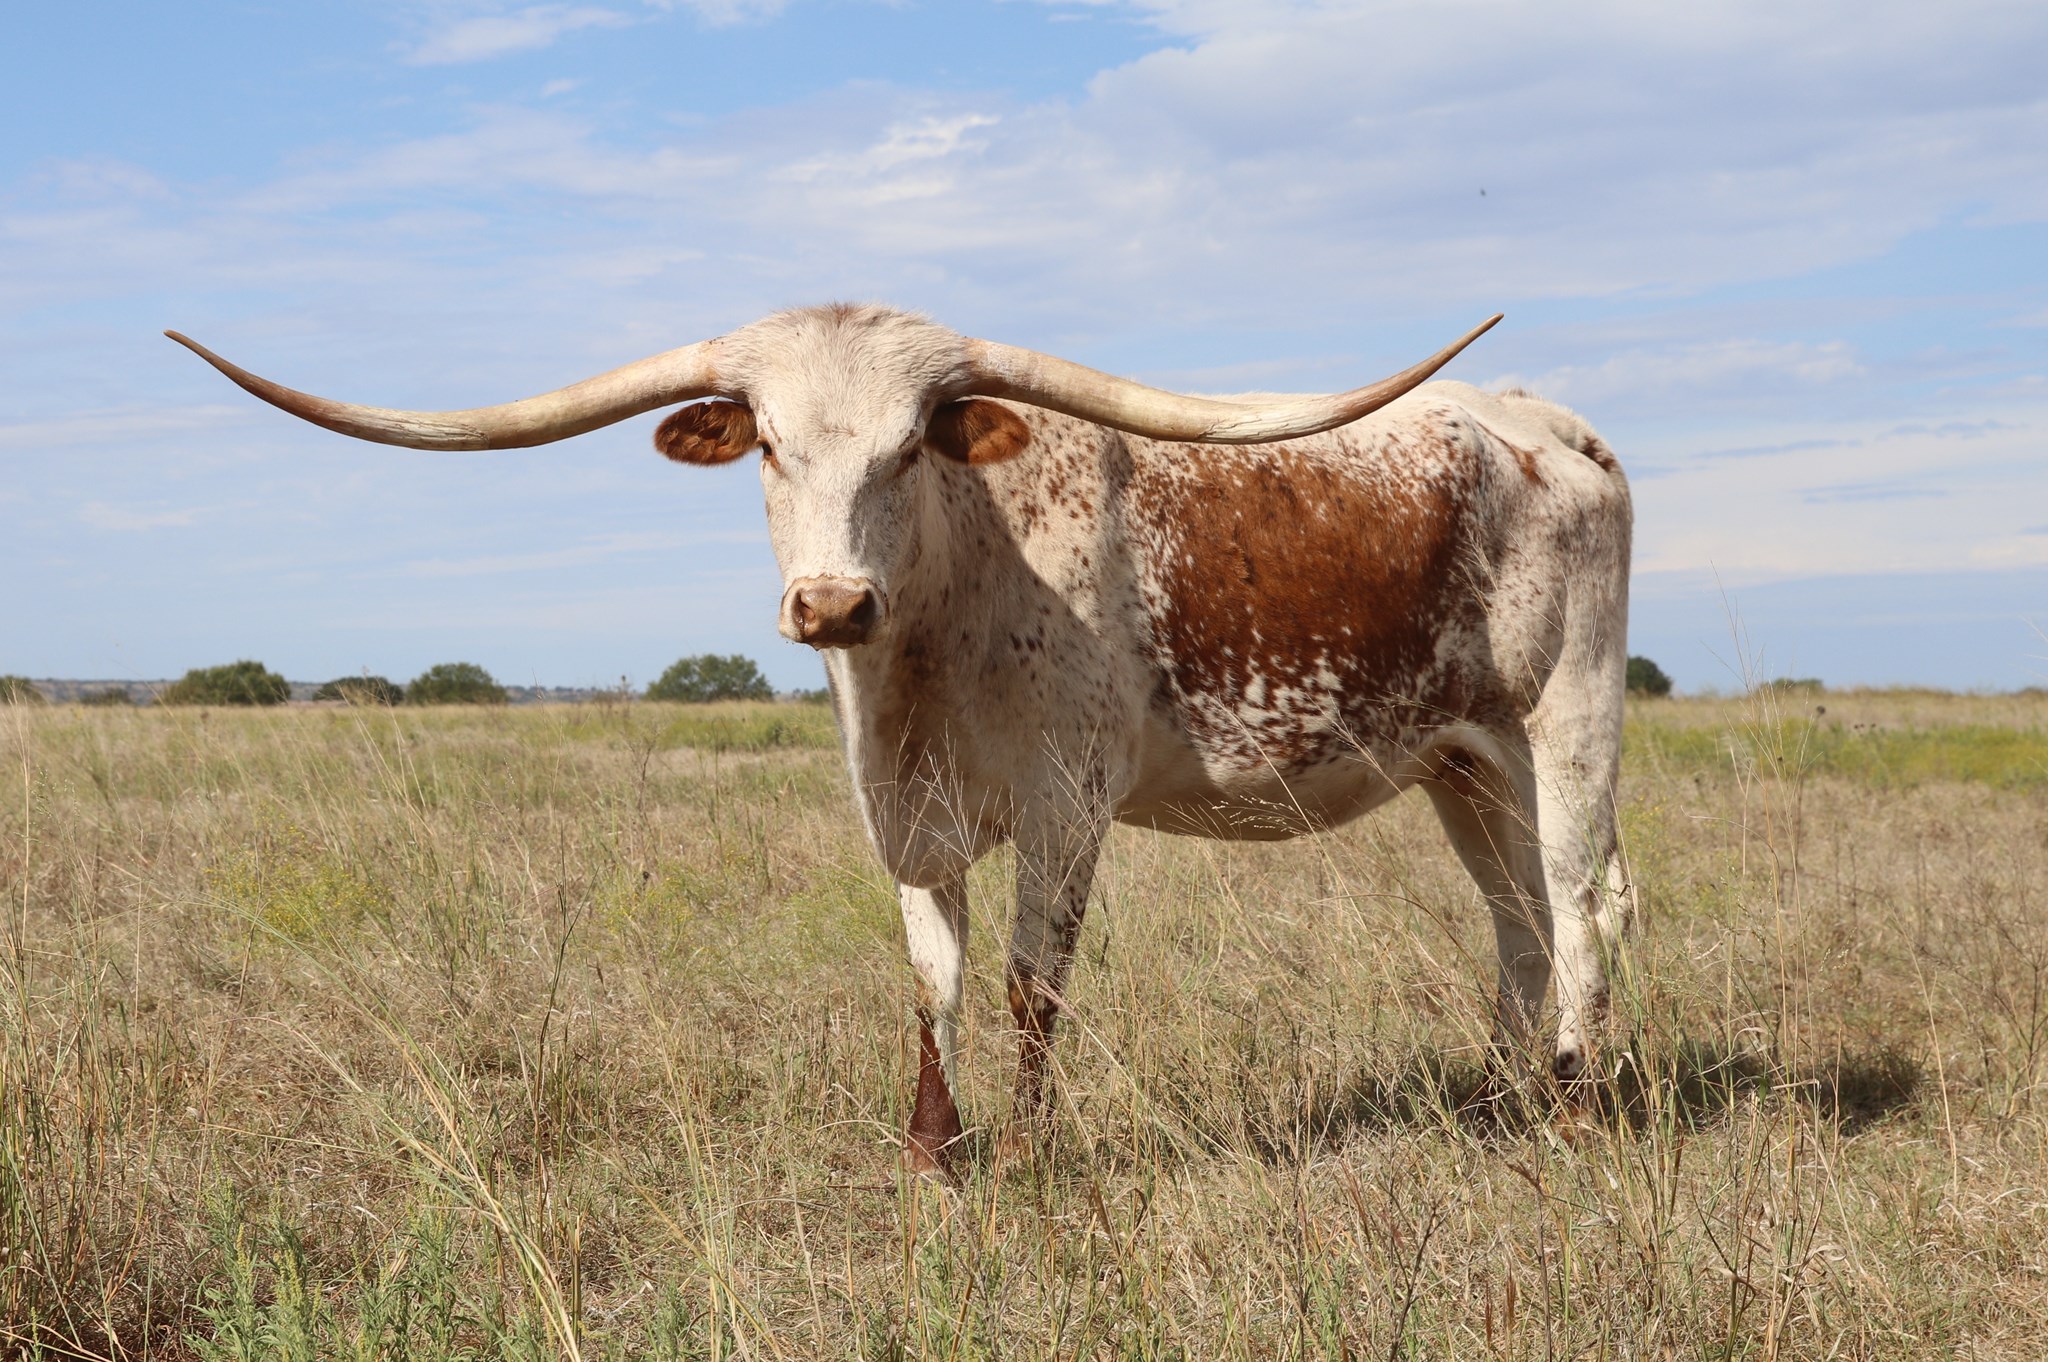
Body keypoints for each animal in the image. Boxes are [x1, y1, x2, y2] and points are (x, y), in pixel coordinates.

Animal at [169, 303, 1633, 1177]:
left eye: (910, 446)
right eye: (766, 444)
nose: (830, 604)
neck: (946, 608)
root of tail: (1545, 420)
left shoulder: (1065, 801)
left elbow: (1032, 987)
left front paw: (1033, 1157)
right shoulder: (904, 807)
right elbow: (932, 976)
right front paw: (934, 1151)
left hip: (1567, 719)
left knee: (1579, 905)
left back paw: (1571, 1108)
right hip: (1461, 762)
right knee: (1516, 919)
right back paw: (1499, 1105)